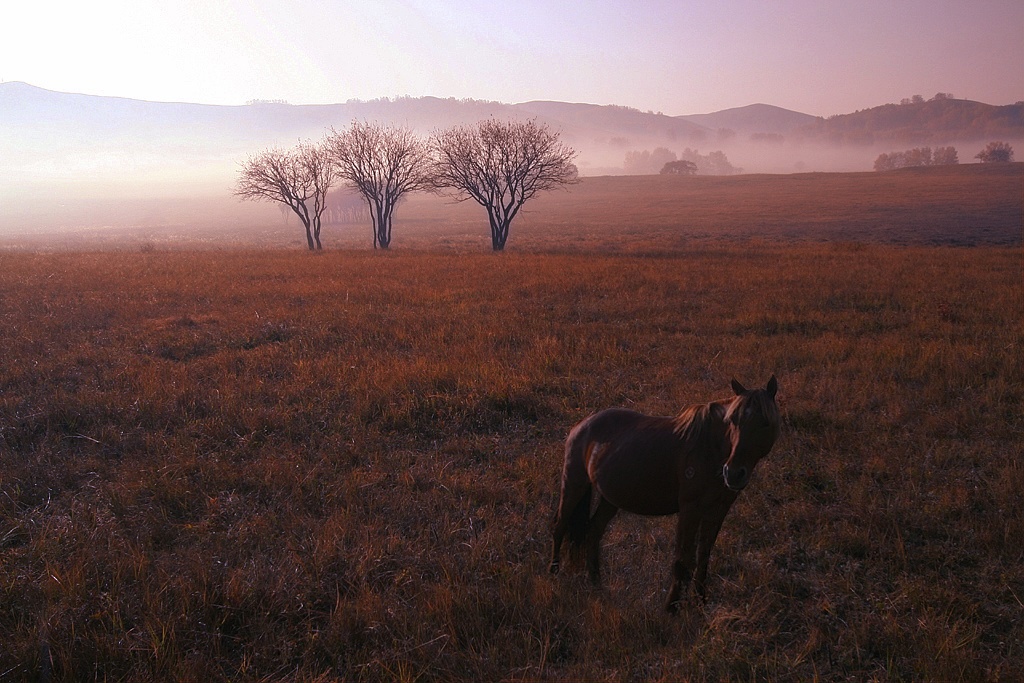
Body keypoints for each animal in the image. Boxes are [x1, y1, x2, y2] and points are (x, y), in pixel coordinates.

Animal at [548, 378, 778, 614]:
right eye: (732, 420)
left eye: (765, 422)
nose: (732, 473)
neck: (710, 448)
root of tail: (581, 425)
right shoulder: (690, 508)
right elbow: (682, 559)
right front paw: (671, 607)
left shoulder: (718, 509)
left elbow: (703, 555)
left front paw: (701, 602)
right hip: (574, 484)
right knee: (559, 526)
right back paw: (553, 574)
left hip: (609, 499)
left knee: (593, 532)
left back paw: (596, 584)